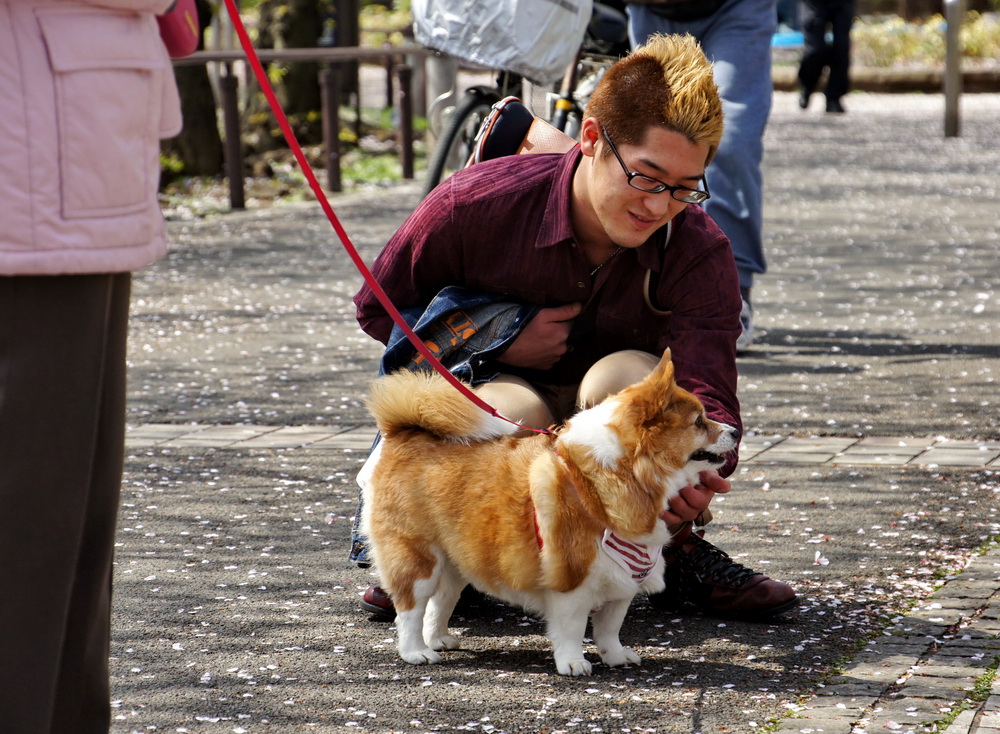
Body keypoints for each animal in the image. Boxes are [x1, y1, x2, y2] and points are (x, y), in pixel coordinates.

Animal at [360, 350, 736, 680]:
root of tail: (405, 431)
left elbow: (610, 628)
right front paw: (573, 663)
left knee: (439, 603)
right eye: (699, 422)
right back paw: (416, 652)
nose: (734, 430)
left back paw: (439, 639)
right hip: (418, 558)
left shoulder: (621, 584)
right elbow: (572, 629)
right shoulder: (573, 582)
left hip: (455, 562)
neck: (621, 473)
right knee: (410, 609)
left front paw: (615, 657)